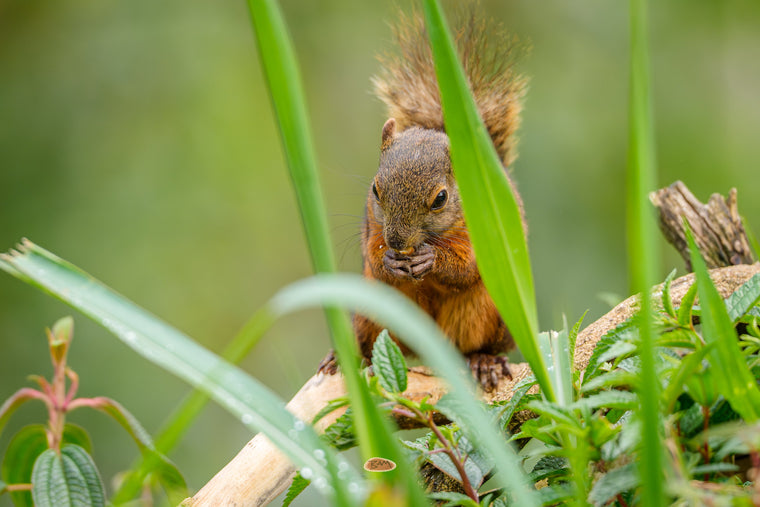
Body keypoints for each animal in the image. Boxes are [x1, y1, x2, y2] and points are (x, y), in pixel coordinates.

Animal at [320, 8, 527, 391]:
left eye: (440, 199)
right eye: (375, 189)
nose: (397, 242)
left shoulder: (488, 230)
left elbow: (468, 265)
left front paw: (432, 259)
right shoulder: (371, 225)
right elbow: (373, 255)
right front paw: (389, 259)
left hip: (490, 314)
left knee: (477, 344)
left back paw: (485, 361)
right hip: (371, 311)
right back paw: (344, 357)